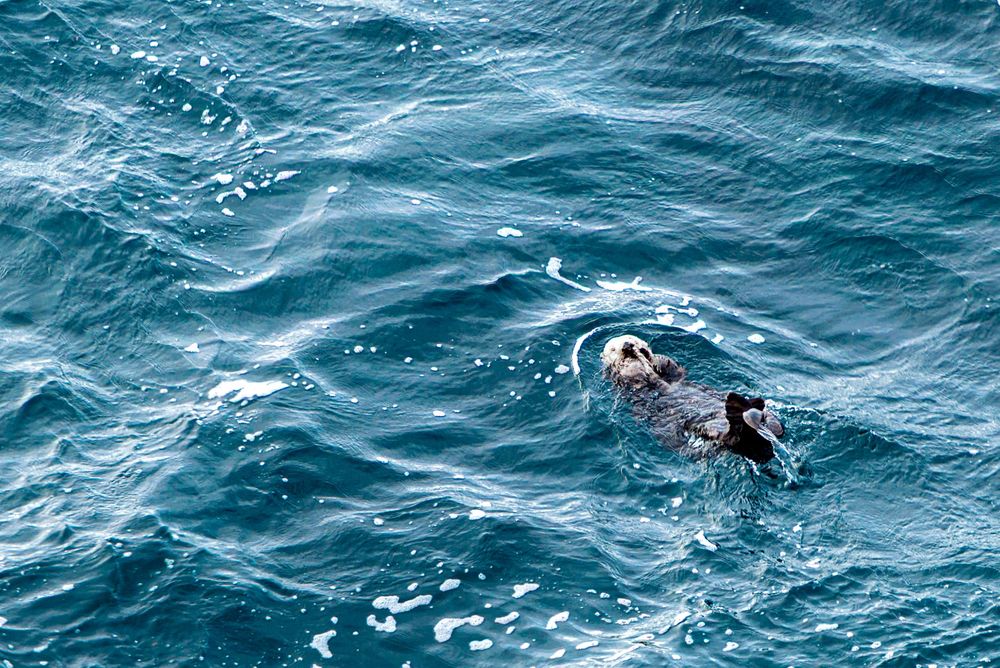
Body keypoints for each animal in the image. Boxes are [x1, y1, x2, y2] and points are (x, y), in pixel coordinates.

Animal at [601, 334, 784, 464]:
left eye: (635, 340)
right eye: (613, 349)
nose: (627, 346)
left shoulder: (672, 374)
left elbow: (673, 368)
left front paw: (653, 358)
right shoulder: (624, 380)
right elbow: (631, 371)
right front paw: (631, 361)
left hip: (769, 423)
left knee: (777, 428)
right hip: (706, 434)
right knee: (732, 437)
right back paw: (738, 411)